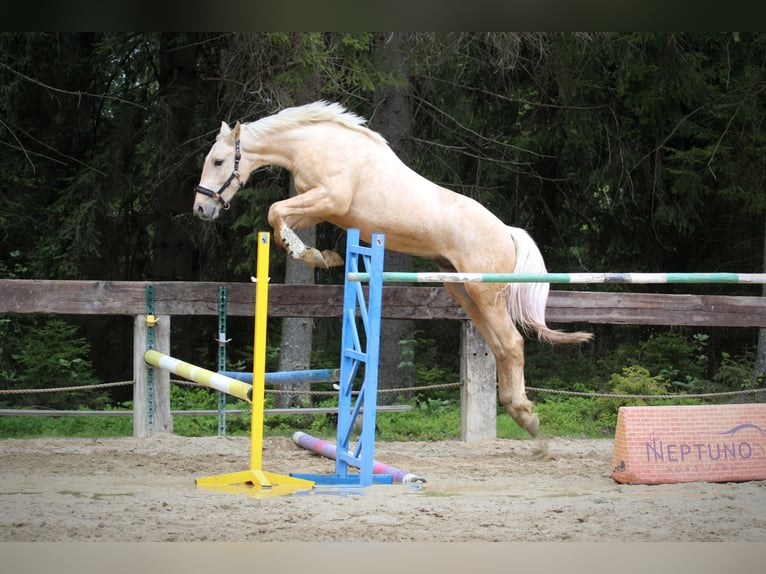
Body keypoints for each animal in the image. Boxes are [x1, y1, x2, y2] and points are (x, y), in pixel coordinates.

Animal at [194, 101, 592, 438]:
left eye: (219, 161)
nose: (201, 209)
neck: (318, 144)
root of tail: (506, 231)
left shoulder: (329, 199)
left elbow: (275, 211)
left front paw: (309, 253)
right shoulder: (318, 206)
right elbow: (279, 220)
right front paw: (322, 256)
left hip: (484, 293)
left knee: (512, 343)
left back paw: (526, 415)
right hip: (462, 290)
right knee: (499, 346)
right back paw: (517, 409)